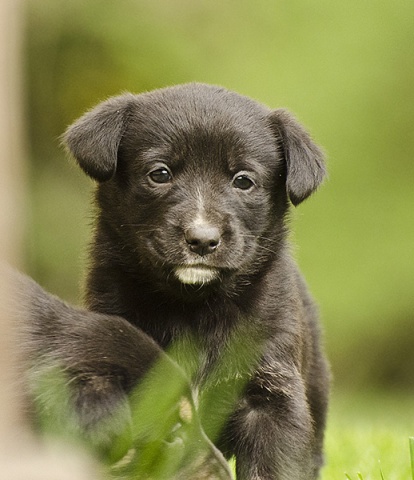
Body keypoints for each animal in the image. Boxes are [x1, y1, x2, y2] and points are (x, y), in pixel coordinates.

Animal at [64, 83, 330, 480]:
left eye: (243, 181)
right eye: (160, 173)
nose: (202, 240)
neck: (195, 304)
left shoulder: (271, 393)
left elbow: (274, 463)